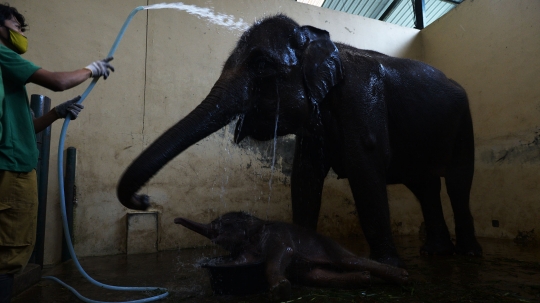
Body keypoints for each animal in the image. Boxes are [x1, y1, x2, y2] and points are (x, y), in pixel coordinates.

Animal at [117, 14, 480, 268]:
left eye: (261, 64)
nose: (144, 199)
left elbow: (364, 169)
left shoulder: (363, 97)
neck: (320, 41)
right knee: (425, 186)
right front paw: (301, 257)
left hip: (465, 122)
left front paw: (387, 267)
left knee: (457, 182)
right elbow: (305, 177)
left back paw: (468, 255)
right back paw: (435, 254)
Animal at [175, 213, 408, 300]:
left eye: (223, 224)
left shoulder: (278, 239)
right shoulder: (247, 250)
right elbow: (241, 259)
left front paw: (281, 290)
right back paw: (364, 279)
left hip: (331, 248)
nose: (176, 220)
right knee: (319, 276)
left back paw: (403, 278)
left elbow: (282, 254)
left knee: (350, 260)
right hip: (310, 271)